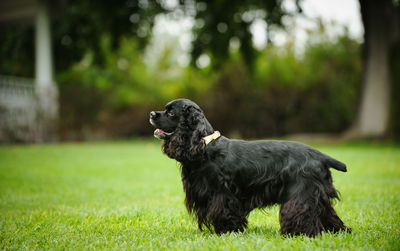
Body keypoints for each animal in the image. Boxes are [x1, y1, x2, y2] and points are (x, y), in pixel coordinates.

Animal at [149, 98, 350, 237]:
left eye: (171, 113)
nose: (151, 113)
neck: (204, 145)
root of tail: (320, 155)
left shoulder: (221, 194)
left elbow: (225, 212)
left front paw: (227, 231)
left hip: (301, 193)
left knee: (301, 213)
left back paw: (300, 234)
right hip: (318, 195)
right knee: (328, 214)